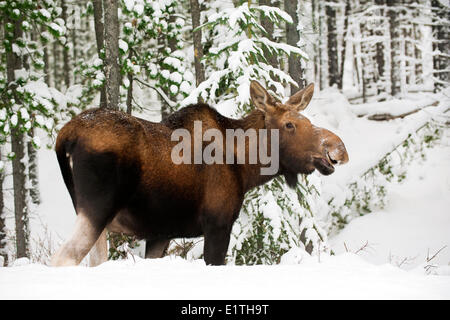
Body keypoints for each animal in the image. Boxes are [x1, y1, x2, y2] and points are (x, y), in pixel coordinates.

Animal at [51, 81, 348, 266]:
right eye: (289, 124)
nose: (338, 148)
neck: (247, 168)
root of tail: (65, 137)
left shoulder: (160, 233)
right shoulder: (218, 223)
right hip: (97, 209)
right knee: (63, 257)